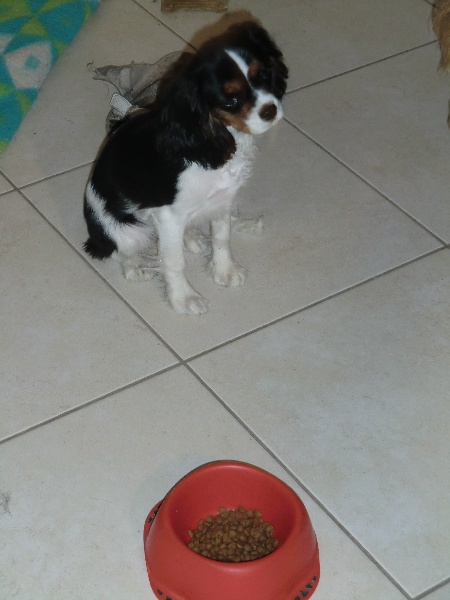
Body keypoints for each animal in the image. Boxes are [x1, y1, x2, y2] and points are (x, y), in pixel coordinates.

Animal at [83, 22, 288, 314]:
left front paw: (225, 272)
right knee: (122, 254)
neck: (215, 136)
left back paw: (191, 238)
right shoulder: (168, 216)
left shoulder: (222, 201)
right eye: (231, 101)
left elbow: (222, 237)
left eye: (264, 75)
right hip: (127, 230)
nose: (270, 110)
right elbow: (173, 261)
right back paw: (139, 267)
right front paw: (184, 298)